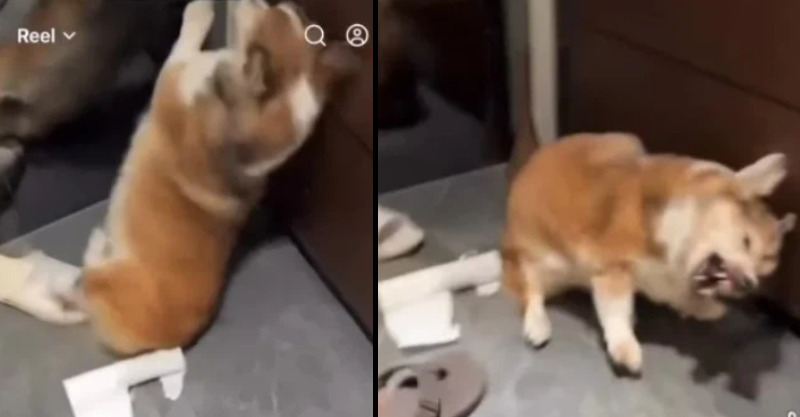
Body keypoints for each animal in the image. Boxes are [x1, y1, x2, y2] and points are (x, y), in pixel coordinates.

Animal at [76, 0, 356, 355]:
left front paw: (199, 12)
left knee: (89, 278)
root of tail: (173, 342)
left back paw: (97, 245)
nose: (255, 1)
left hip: (110, 280)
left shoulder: (174, 79)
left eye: (261, 18)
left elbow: (183, 45)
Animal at [502, 132, 796, 375]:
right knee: (531, 291)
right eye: (746, 241)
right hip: (543, 261)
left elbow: (682, 296)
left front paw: (702, 307)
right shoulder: (613, 267)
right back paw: (537, 323)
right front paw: (624, 346)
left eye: (764, 270)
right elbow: (616, 310)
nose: (749, 285)